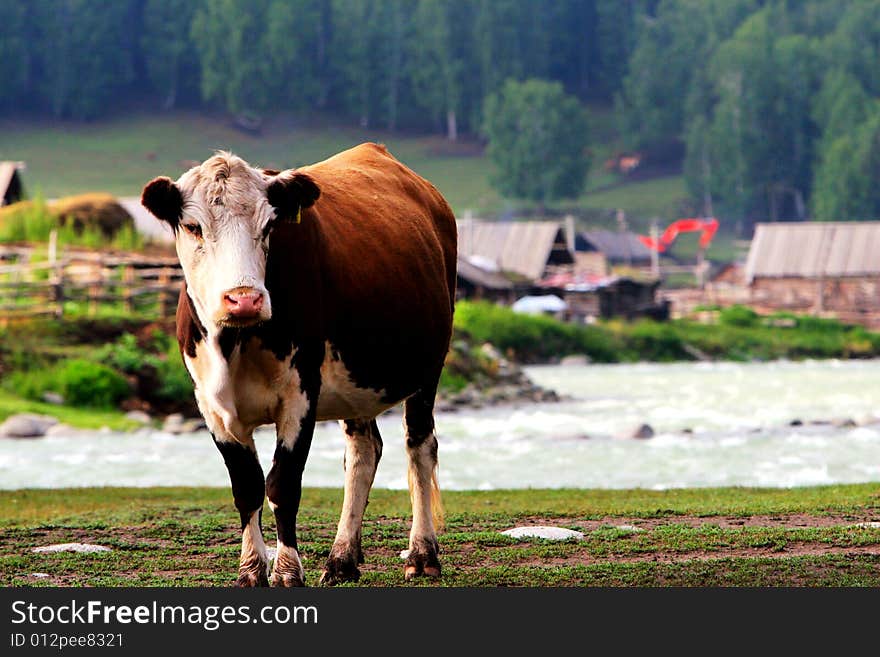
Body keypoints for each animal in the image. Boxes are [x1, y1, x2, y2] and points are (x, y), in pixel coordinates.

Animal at [141, 144, 458, 584]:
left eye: (269, 225)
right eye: (192, 226)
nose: (244, 299)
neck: (235, 343)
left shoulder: (300, 394)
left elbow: (282, 485)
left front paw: (288, 571)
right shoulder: (211, 405)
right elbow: (246, 487)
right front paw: (251, 570)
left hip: (427, 370)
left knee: (420, 448)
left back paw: (422, 553)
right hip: (356, 386)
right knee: (363, 453)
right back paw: (342, 559)